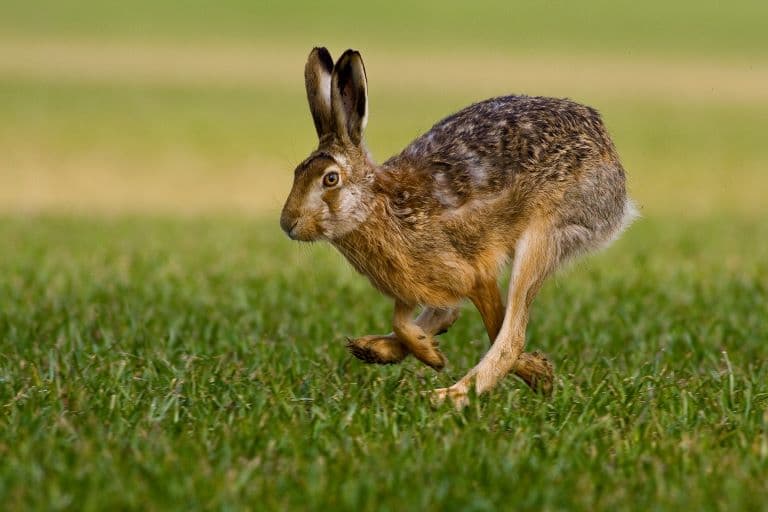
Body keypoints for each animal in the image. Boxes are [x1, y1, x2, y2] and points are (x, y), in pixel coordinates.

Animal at [280, 47, 637, 407]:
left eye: (330, 179)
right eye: (297, 173)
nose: (287, 224)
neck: (377, 205)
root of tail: (609, 155)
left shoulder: (474, 275)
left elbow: (493, 327)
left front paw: (539, 372)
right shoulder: (412, 284)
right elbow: (402, 318)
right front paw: (428, 352)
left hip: (545, 234)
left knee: (510, 337)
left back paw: (449, 395)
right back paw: (378, 348)